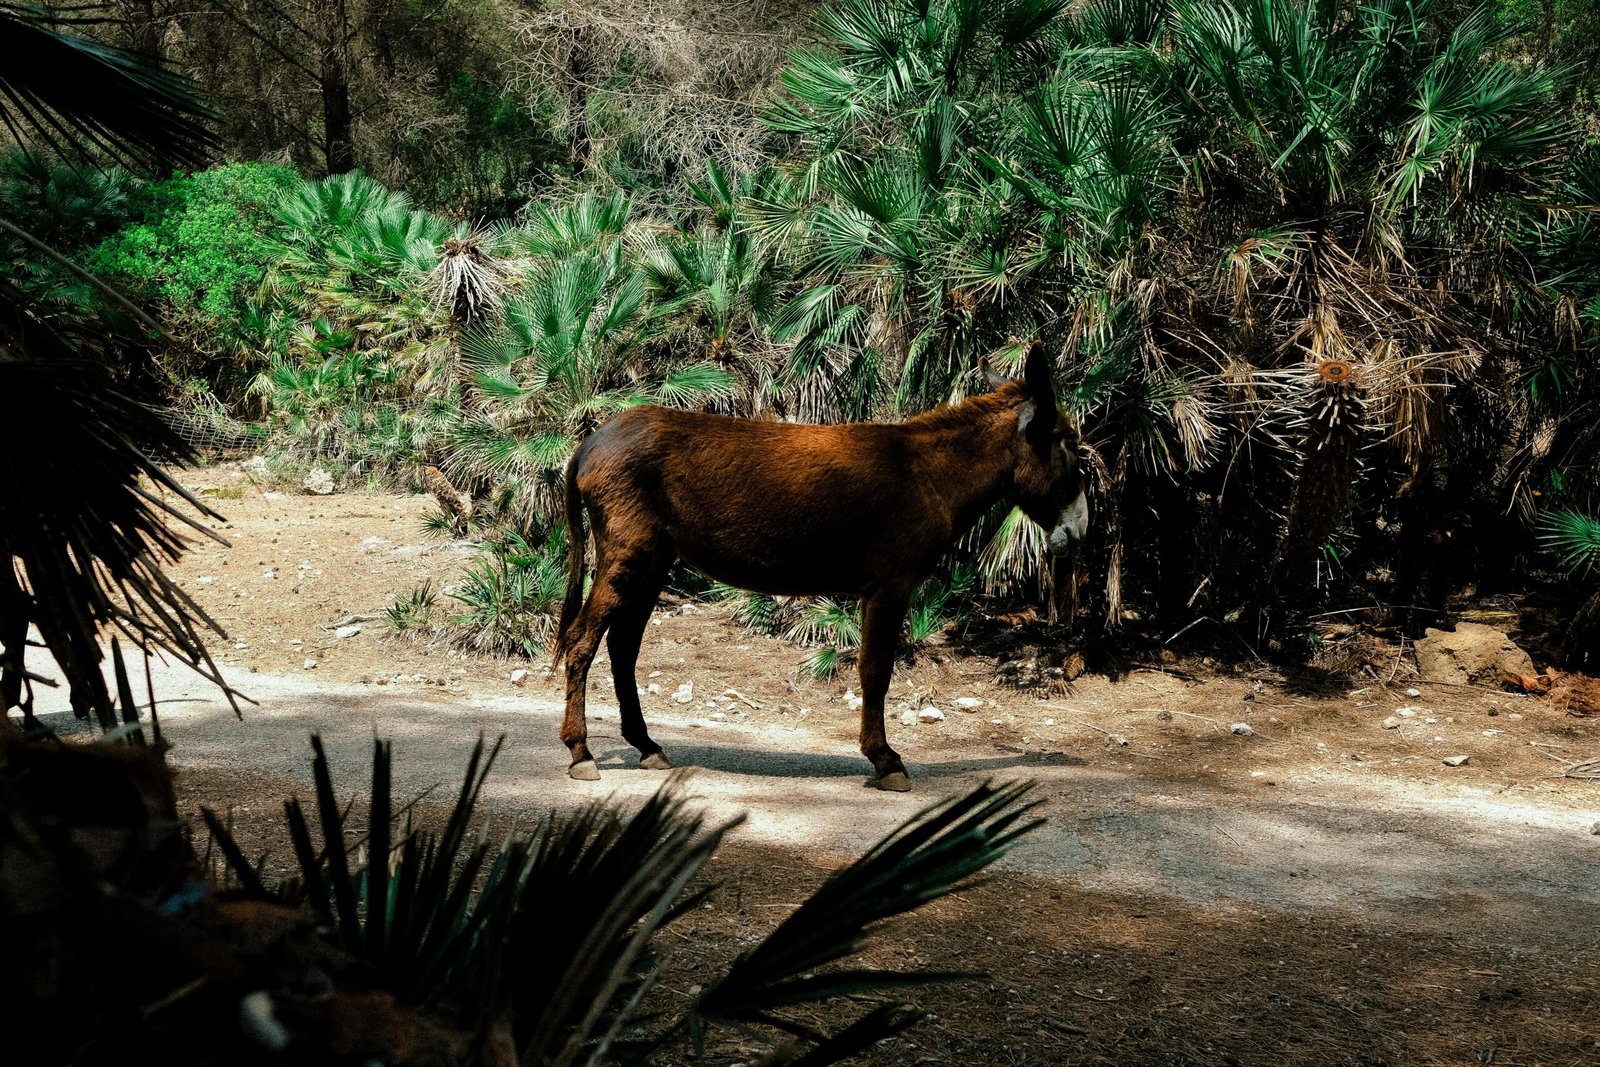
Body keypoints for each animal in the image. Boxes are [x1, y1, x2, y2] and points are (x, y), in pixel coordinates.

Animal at [551, 340, 1088, 790]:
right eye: (1070, 443)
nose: (1082, 531)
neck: (930, 474)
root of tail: (590, 443)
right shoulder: (891, 585)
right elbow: (875, 669)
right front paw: (886, 761)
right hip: (628, 554)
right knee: (581, 640)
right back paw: (581, 753)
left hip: (654, 561)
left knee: (622, 647)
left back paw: (646, 746)